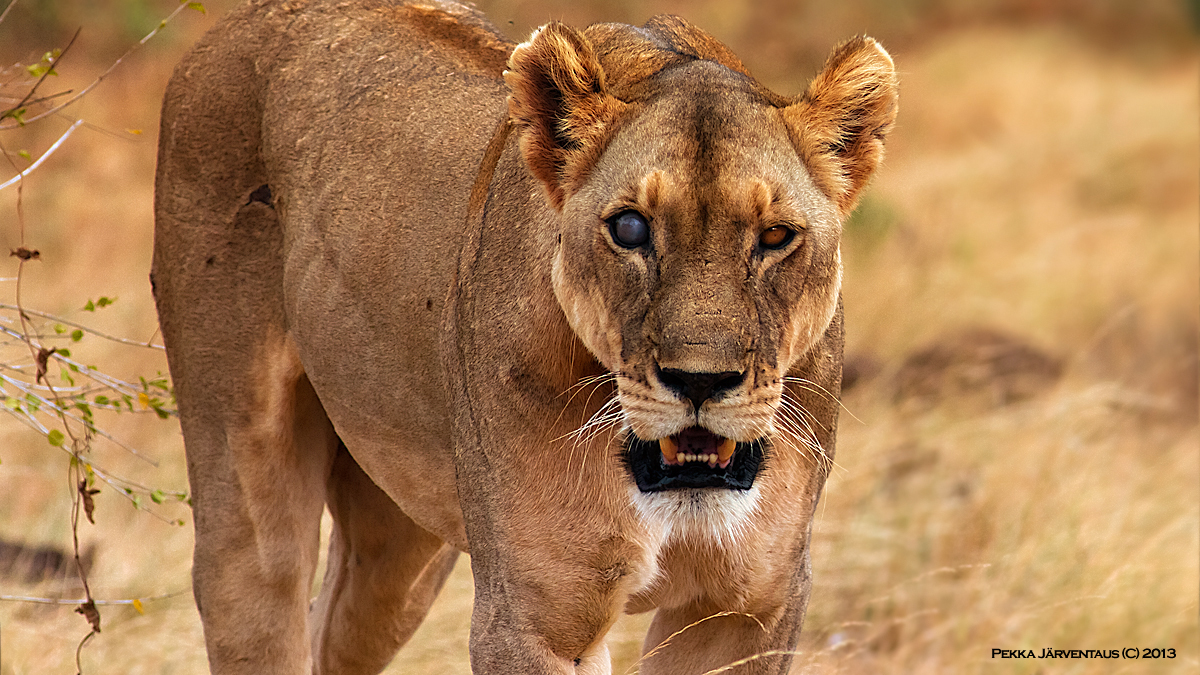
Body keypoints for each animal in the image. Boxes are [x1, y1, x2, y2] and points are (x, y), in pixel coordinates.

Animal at [151, 0, 897, 673]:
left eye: (774, 237)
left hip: (400, 547)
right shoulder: (533, 617)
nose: (700, 382)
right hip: (246, 492)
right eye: (630, 228)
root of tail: (237, 21)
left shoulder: (745, 608)